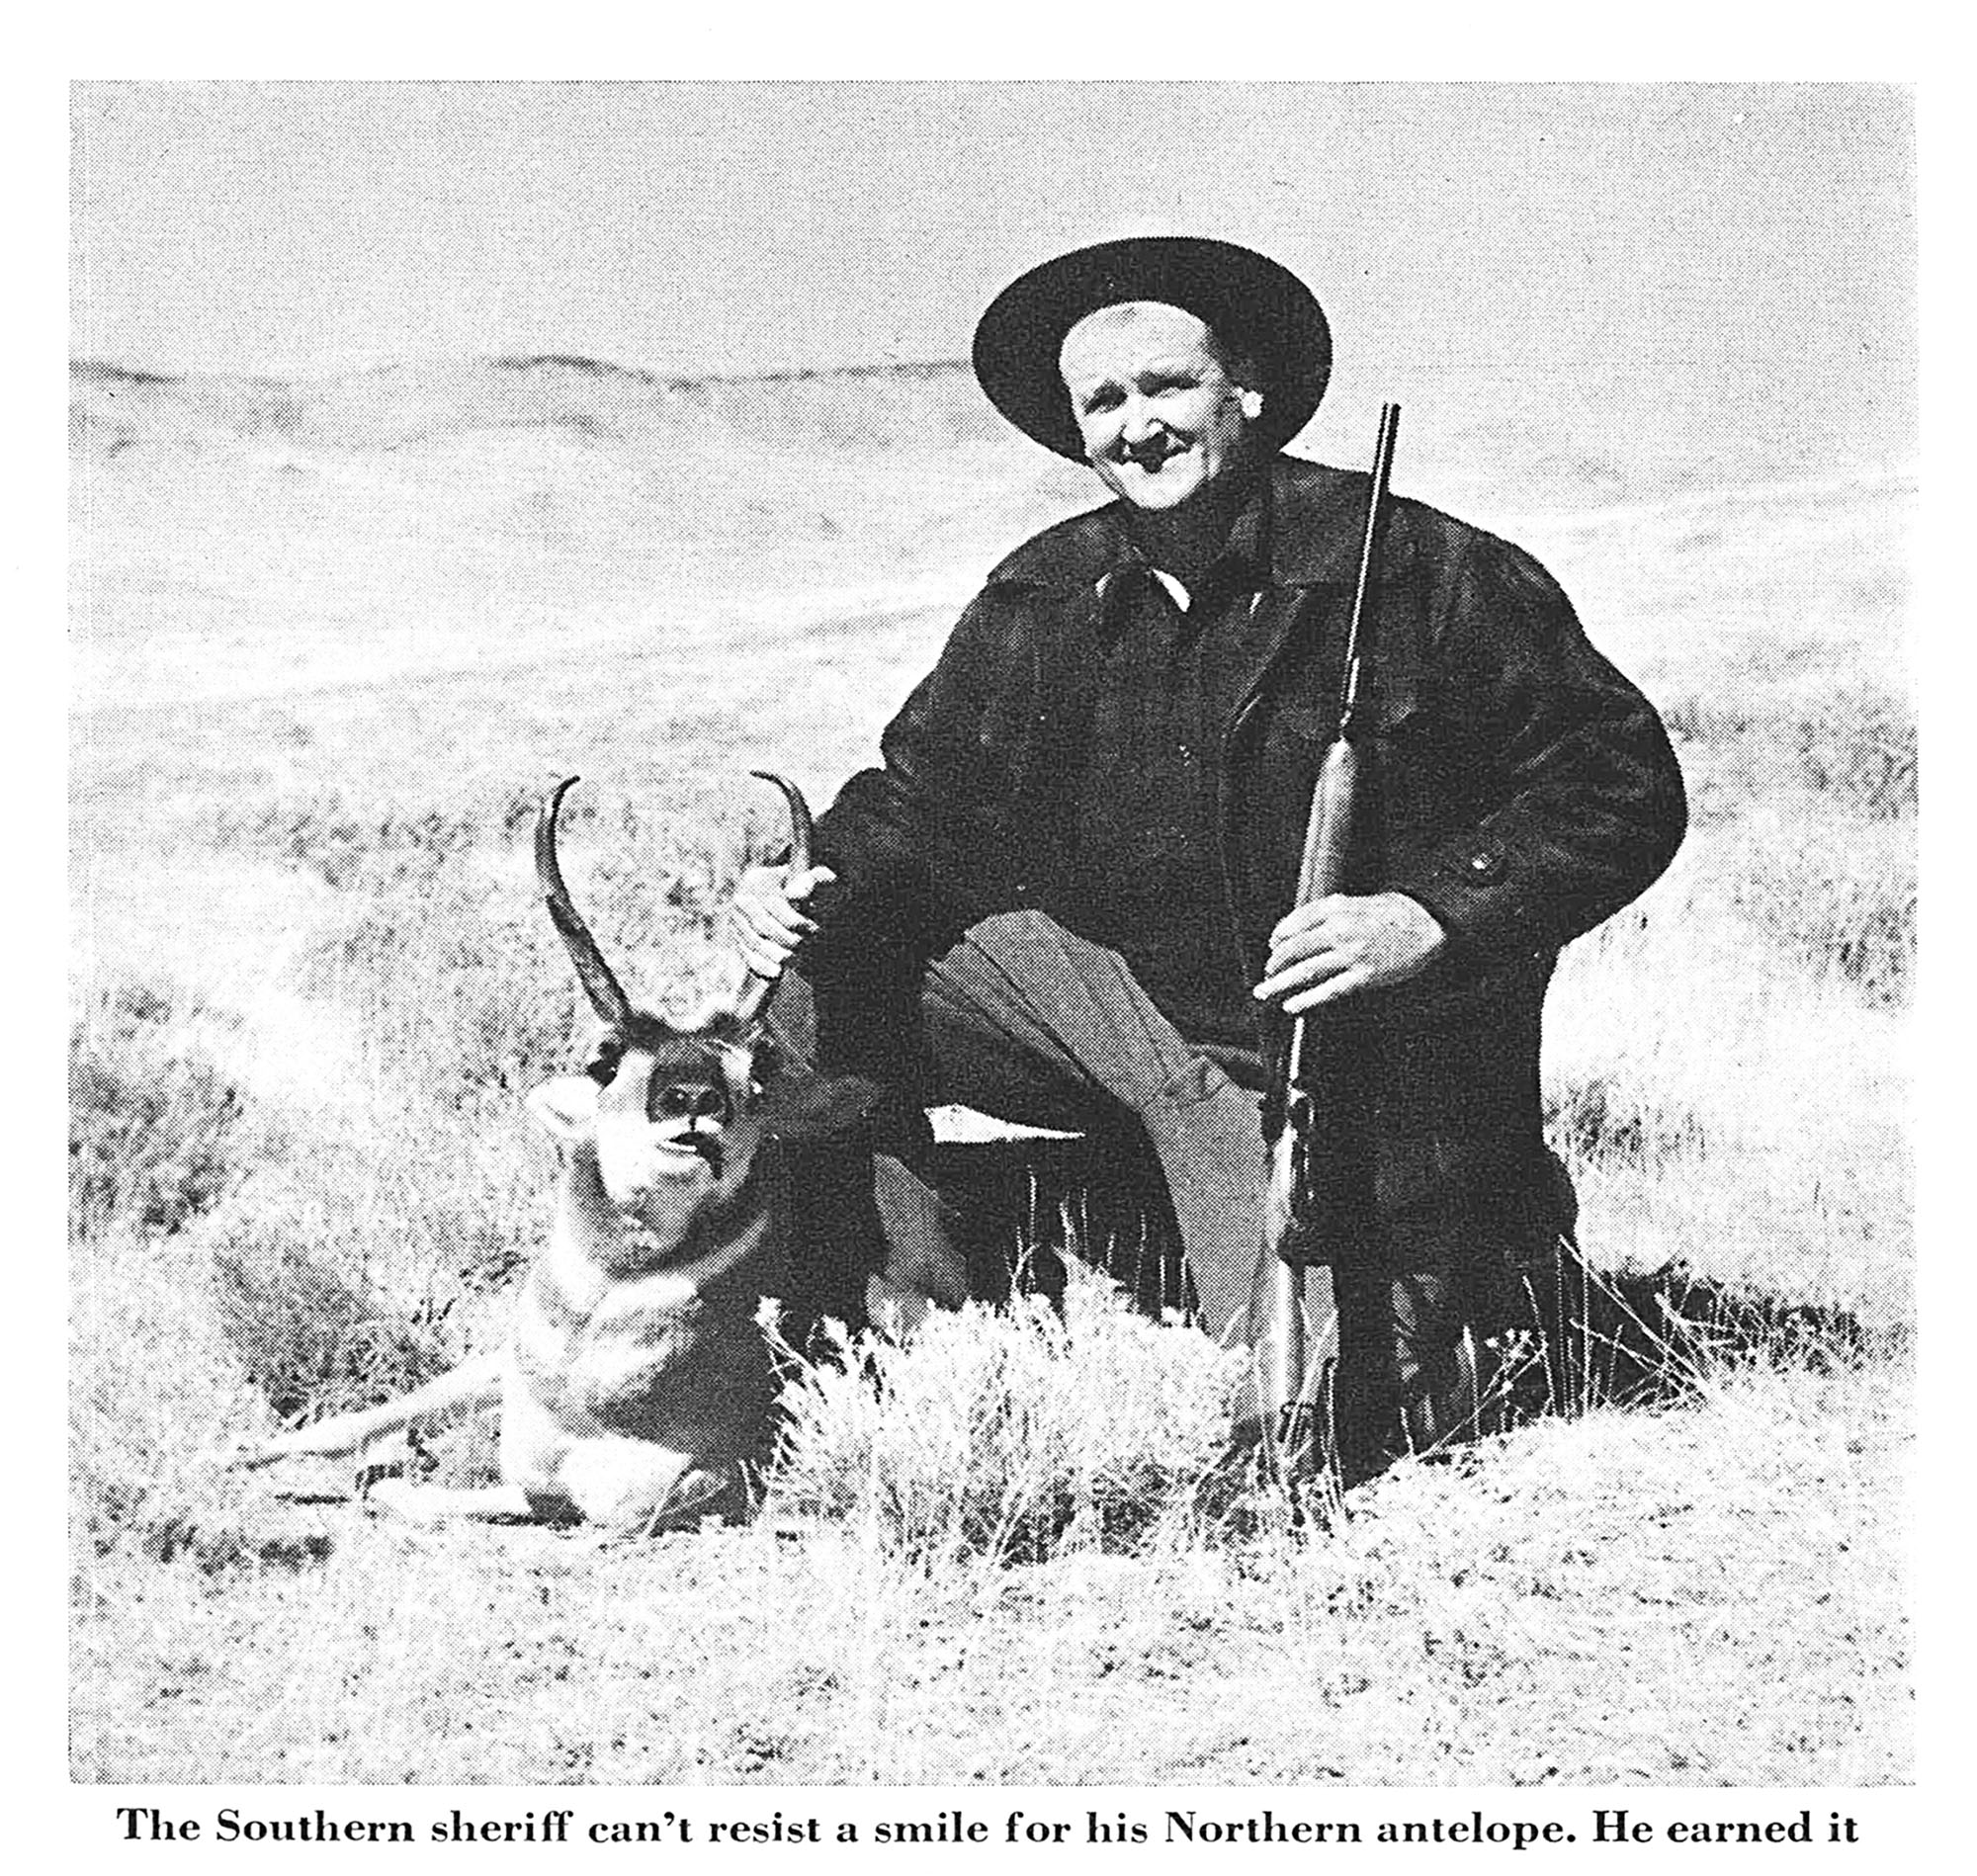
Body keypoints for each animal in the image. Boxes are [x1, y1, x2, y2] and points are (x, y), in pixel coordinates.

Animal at [229, 771, 811, 1526]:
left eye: (754, 1069)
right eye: (606, 1059)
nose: (691, 1098)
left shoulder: (644, 1496)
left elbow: (470, 1498)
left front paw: (390, 1480)